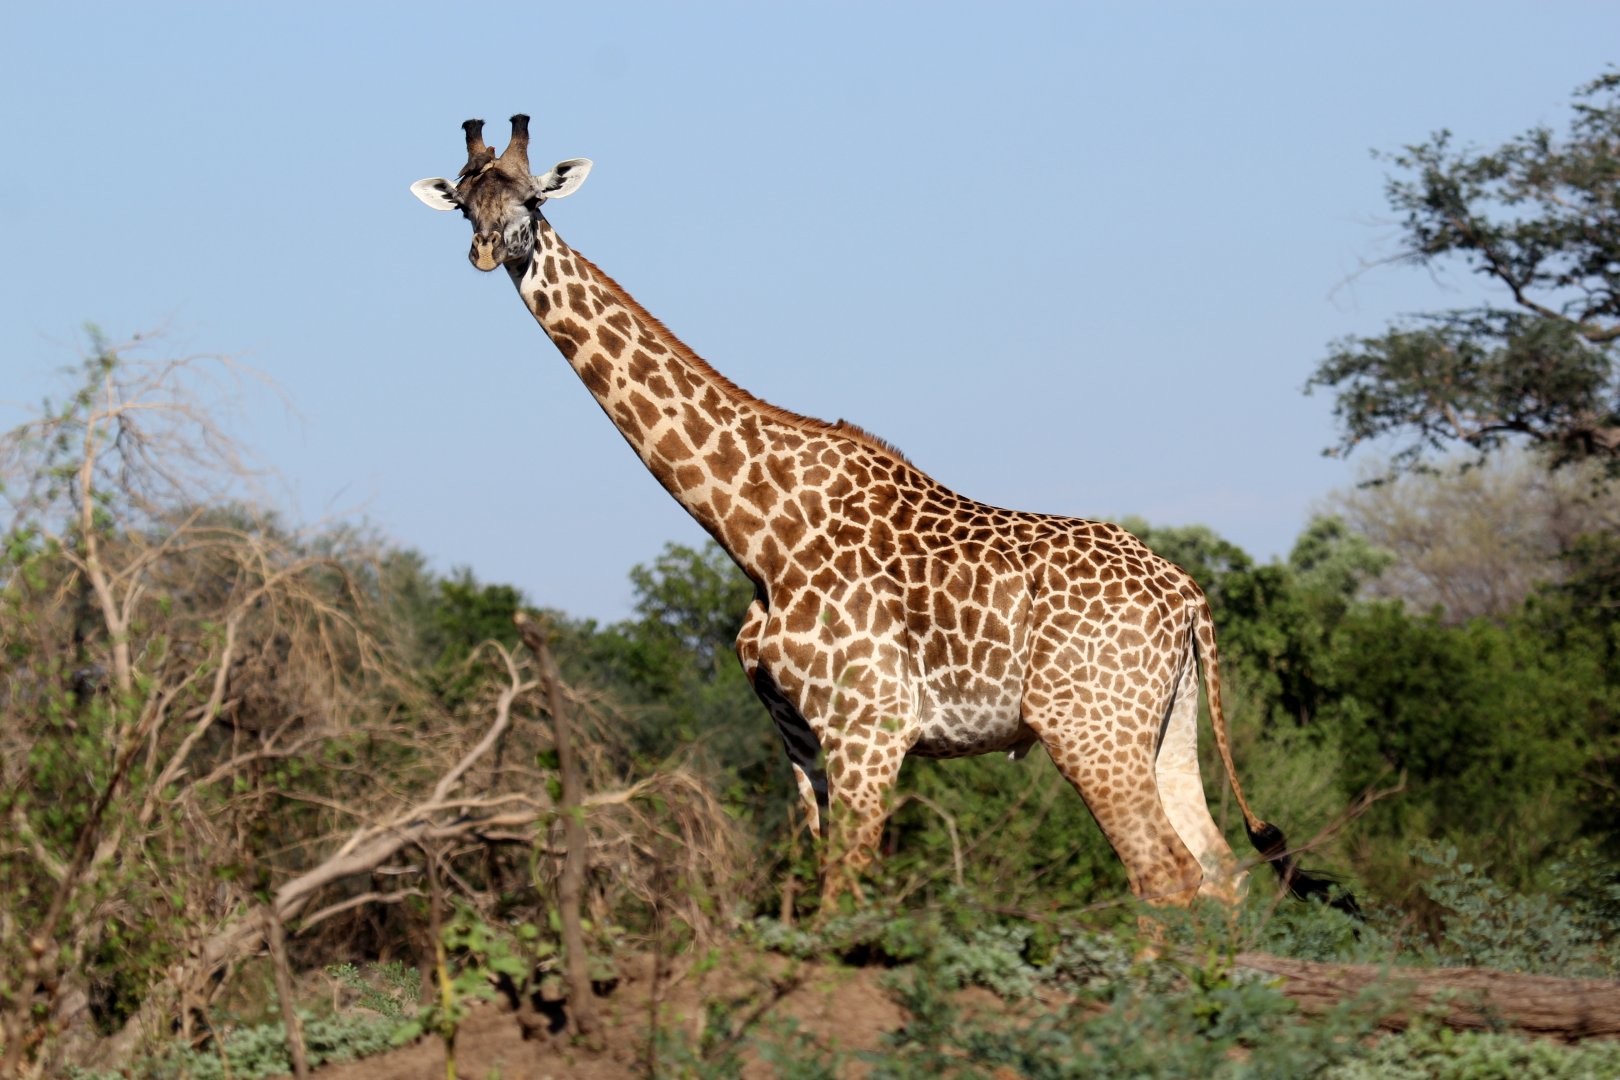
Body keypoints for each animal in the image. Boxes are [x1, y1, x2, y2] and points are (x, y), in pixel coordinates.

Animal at [410, 115, 1342, 911]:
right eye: (465, 199)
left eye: (532, 200)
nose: (487, 250)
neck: (754, 530)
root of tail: (1189, 596)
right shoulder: (798, 734)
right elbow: (818, 884)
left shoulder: (870, 728)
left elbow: (842, 896)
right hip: (1165, 725)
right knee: (1219, 871)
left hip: (1090, 726)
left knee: (1167, 875)